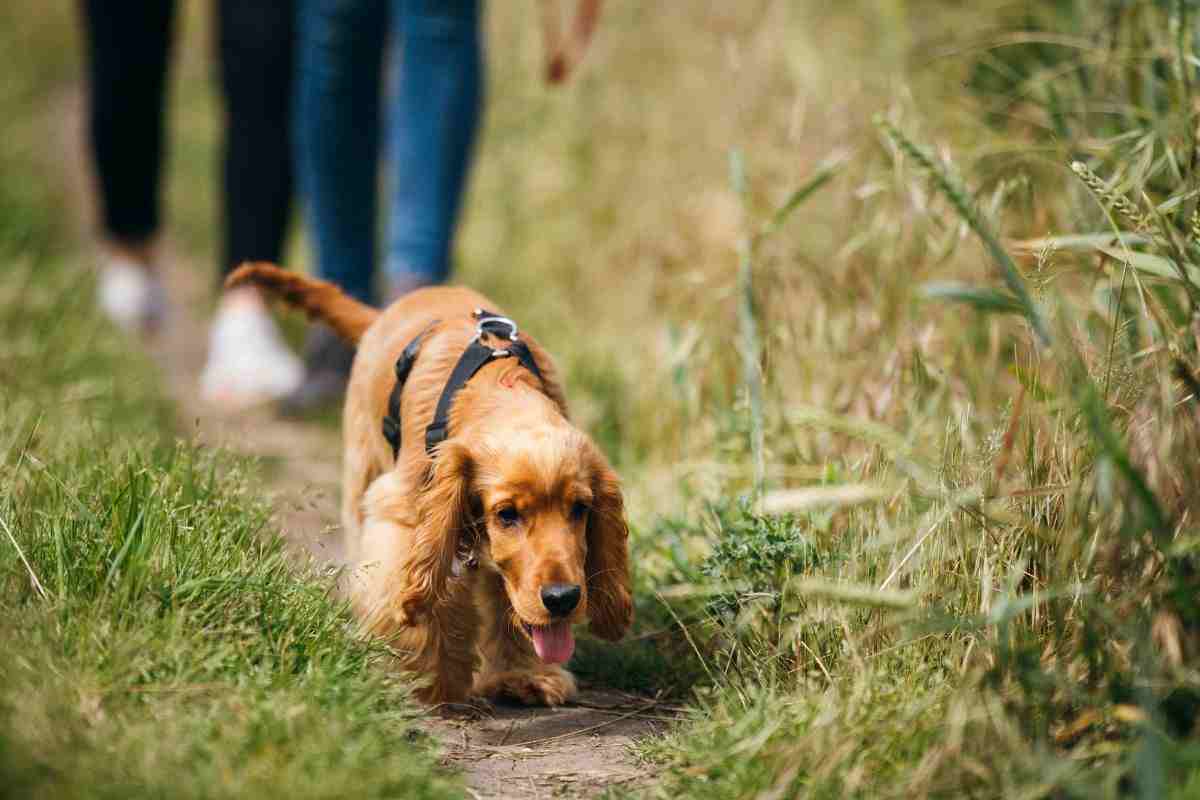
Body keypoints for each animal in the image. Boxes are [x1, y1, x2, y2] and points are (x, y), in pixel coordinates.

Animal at [228, 263, 633, 705]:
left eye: (579, 509)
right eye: (506, 514)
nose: (562, 599)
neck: (496, 386)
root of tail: (388, 311)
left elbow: (511, 605)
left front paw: (525, 675)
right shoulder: (409, 512)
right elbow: (419, 591)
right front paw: (429, 678)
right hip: (362, 466)